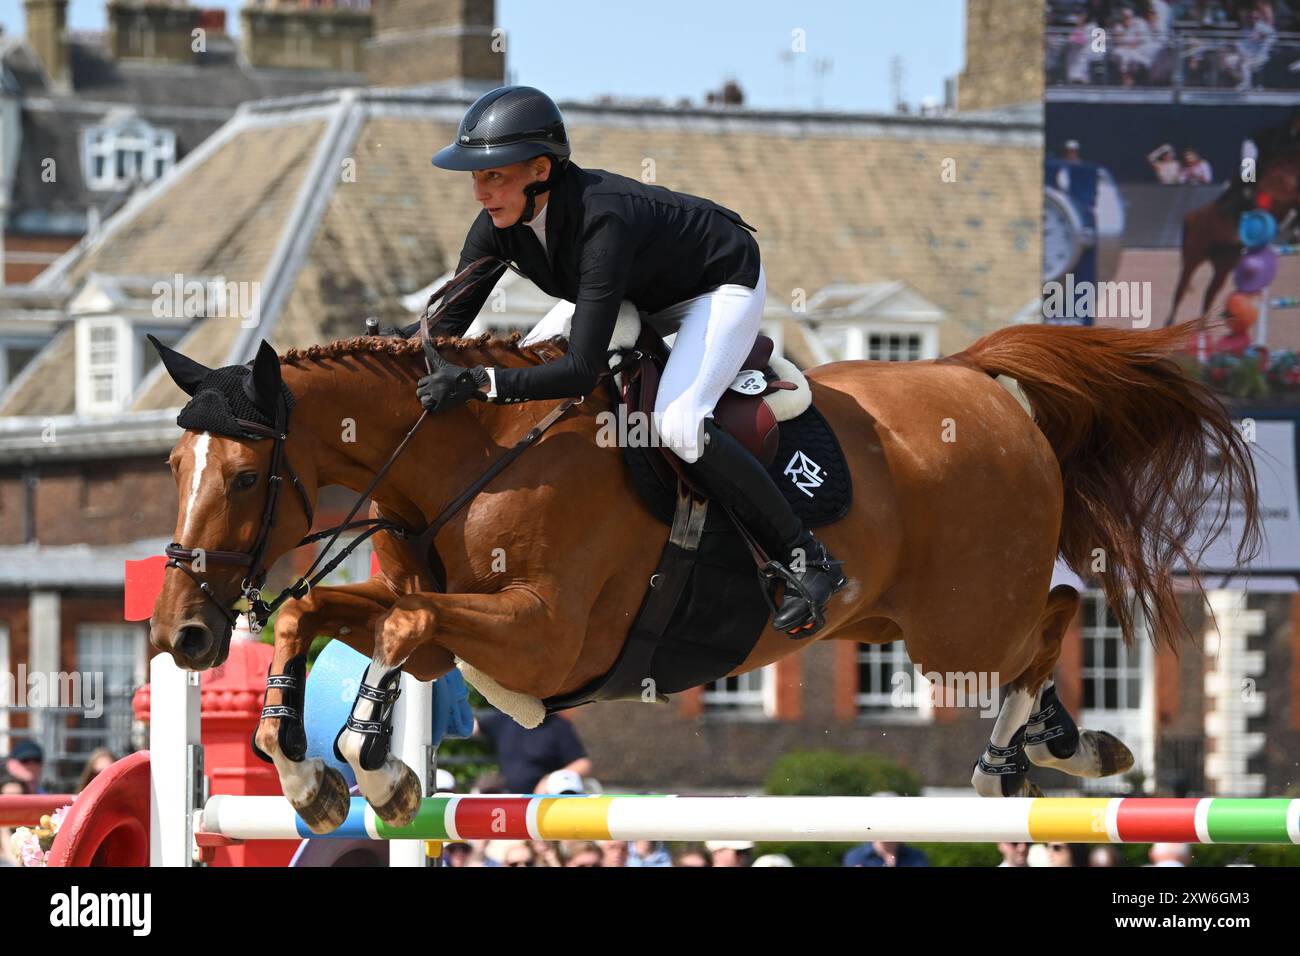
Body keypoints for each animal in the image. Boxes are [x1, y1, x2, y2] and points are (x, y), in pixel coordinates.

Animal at [144, 319, 1258, 832]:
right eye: (170, 467)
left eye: (240, 475)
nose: (180, 635)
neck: (465, 459)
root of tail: (988, 380)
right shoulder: (461, 629)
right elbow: (324, 616)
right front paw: (310, 774)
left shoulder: (546, 637)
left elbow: (403, 630)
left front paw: (373, 762)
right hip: (909, 623)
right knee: (1048, 621)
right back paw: (1061, 744)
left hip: (958, 627)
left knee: (1058, 609)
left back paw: (1031, 752)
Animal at [1170, 149, 1300, 327]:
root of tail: (1191, 216)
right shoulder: (1279, 196)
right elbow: (1293, 200)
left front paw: (1295, 231)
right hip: (1194, 256)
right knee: (1180, 291)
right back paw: (1170, 324)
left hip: (1224, 264)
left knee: (1209, 294)